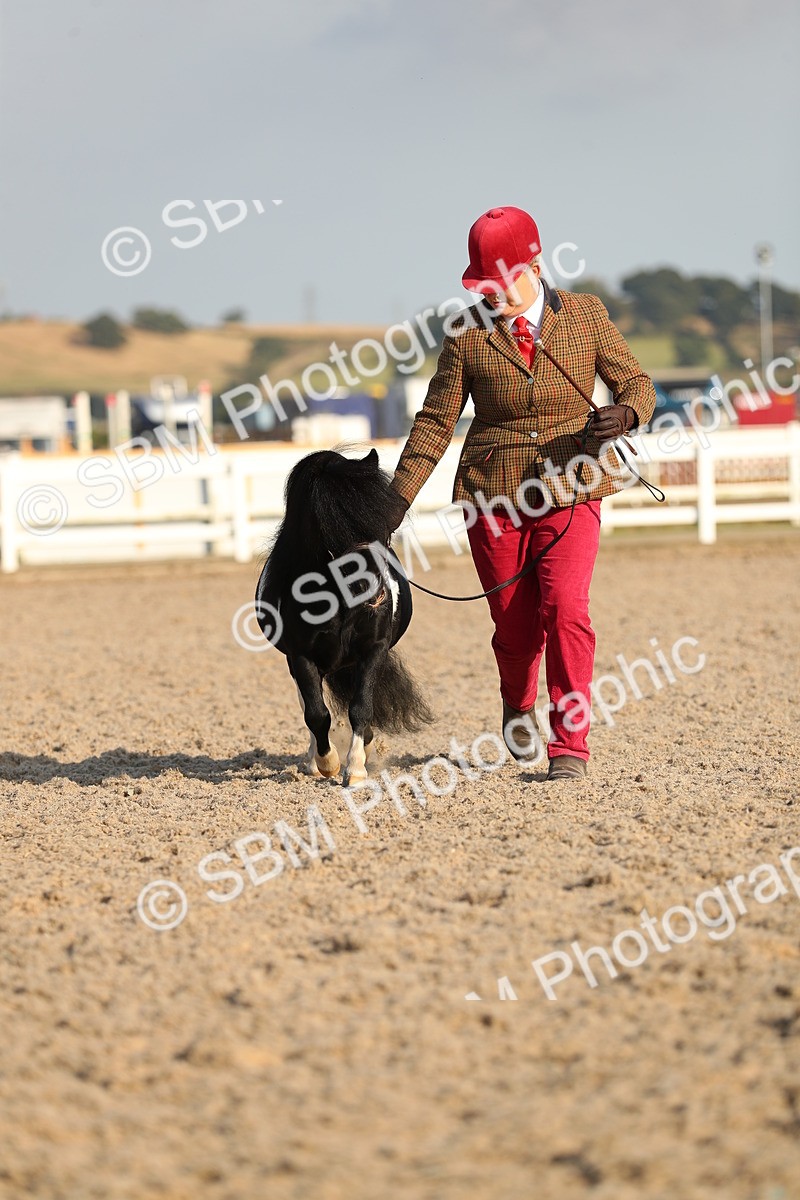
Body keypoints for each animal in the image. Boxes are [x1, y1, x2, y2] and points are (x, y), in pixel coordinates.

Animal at [255, 447, 434, 785]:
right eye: (331, 526)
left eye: (383, 527)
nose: (374, 593)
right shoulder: (300, 656)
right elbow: (316, 713)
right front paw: (328, 763)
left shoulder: (373, 649)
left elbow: (361, 707)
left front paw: (357, 768)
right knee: (309, 706)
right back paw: (314, 761)